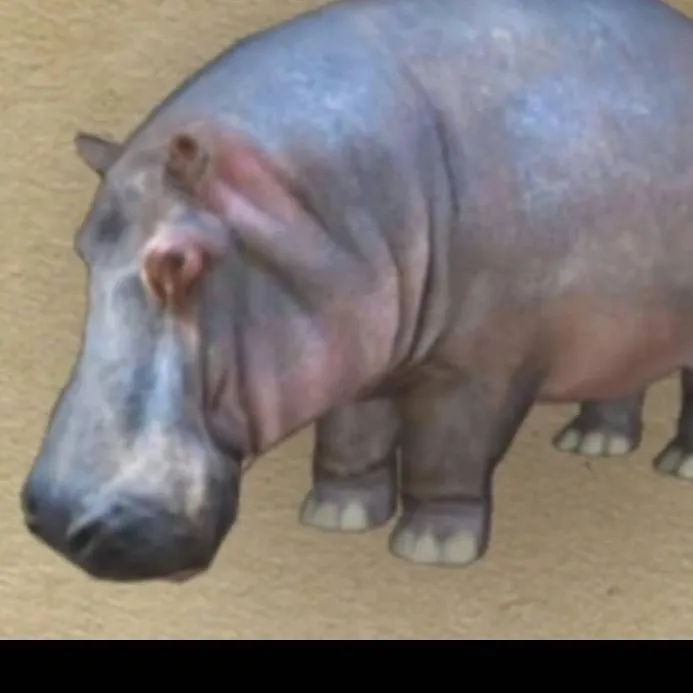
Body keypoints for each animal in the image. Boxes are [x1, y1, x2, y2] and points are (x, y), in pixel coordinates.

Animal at [21, 0, 693, 583]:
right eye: (82, 246)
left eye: (179, 262)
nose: (54, 517)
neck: (298, 204)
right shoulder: (356, 348)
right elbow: (351, 434)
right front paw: (336, 516)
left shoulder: (475, 368)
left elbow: (447, 452)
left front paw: (432, 548)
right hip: (626, 319)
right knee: (622, 376)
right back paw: (594, 442)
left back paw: (678, 466)